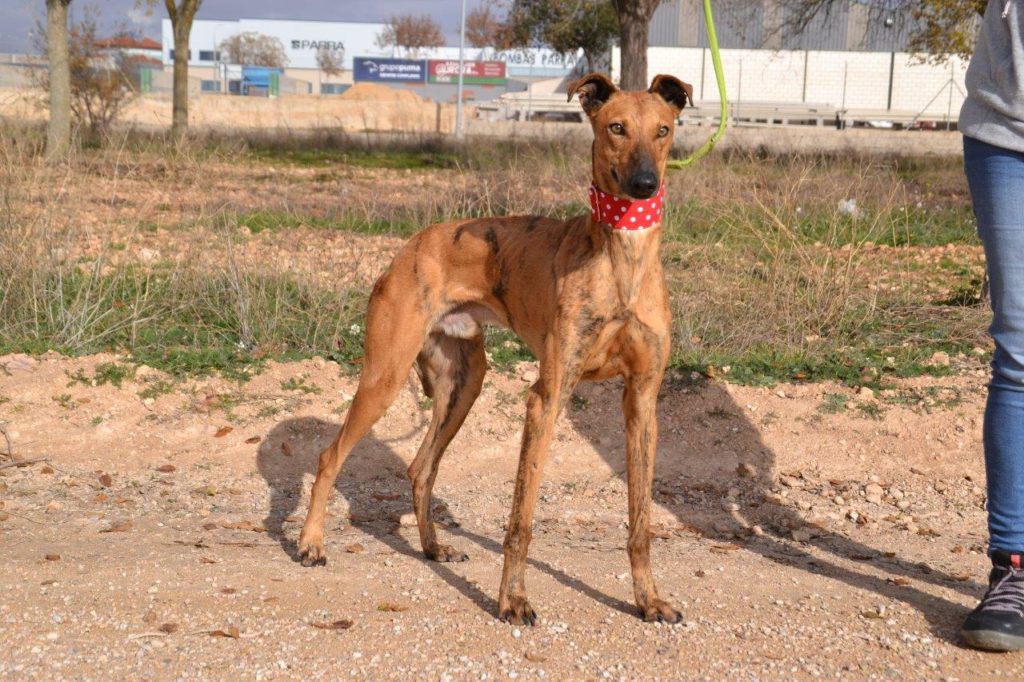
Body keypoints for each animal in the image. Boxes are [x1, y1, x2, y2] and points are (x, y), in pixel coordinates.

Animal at [299, 71, 692, 622]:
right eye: (616, 127)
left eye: (663, 130)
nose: (644, 185)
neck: (623, 260)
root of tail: (408, 247)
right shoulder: (546, 399)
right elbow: (520, 521)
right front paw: (513, 599)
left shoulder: (642, 401)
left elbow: (641, 521)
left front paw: (648, 599)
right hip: (385, 376)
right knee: (330, 456)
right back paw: (311, 543)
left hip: (463, 385)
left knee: (421, 468)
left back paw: (433, 547)